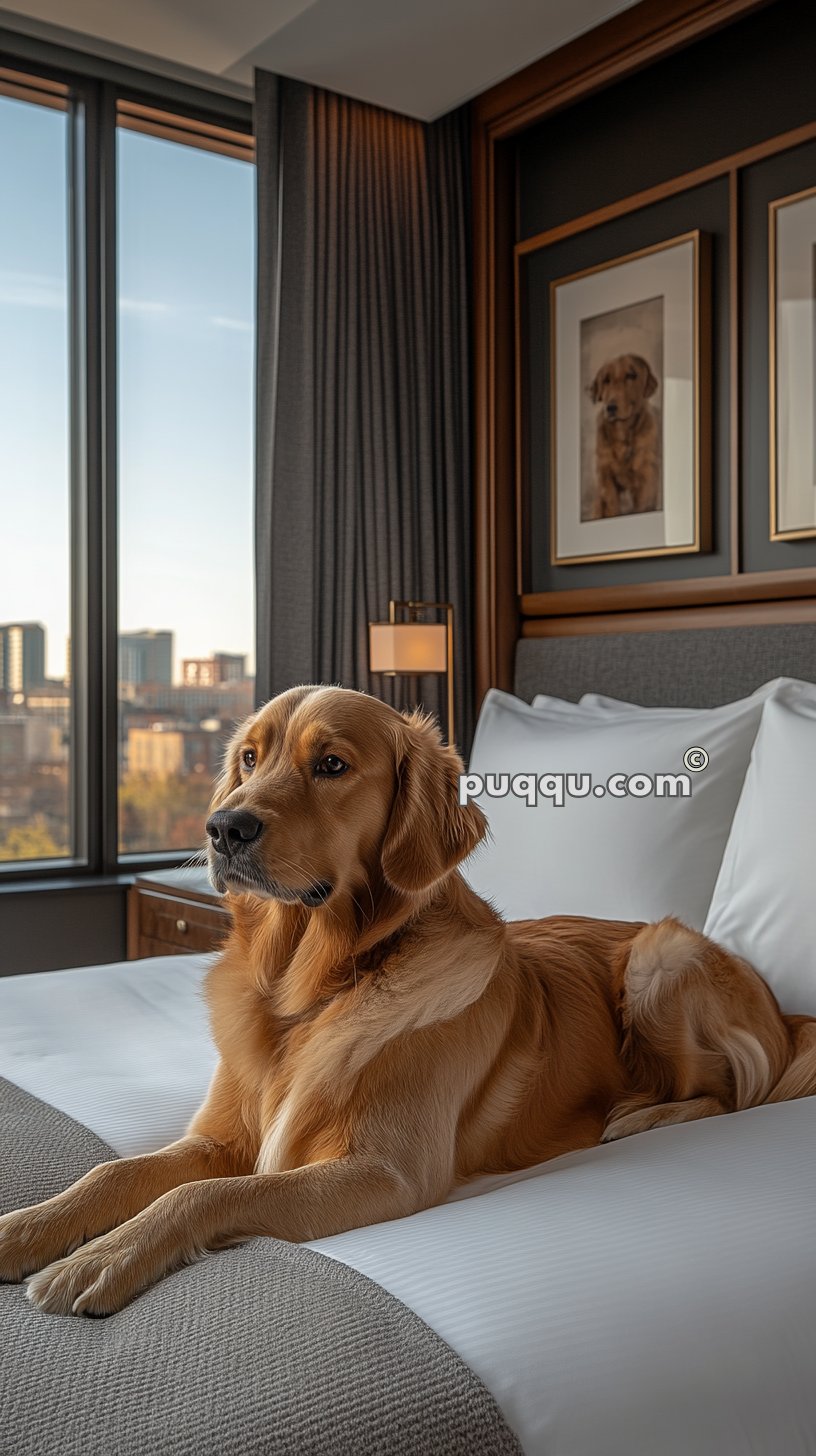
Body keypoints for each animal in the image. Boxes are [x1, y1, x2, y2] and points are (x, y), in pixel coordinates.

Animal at [3, 684, 810, 1322]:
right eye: (250, 759)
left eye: (331, 764)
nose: (223, 827)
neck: (312, 991)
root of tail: (785, 1010)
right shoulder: (218, 1138)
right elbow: (115, 1174)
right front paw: (27, 1228)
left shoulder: (385, 1173)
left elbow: (204, 1197)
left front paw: (98, 1259)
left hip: (660, 959)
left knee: (727, 1093)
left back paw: (641, 1117)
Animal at [588, 352, 658, 518]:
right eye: (606, 380)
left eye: (631, 375)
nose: (610, 408)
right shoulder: (606, 477)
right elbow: (612, 508)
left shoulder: (646, 479)